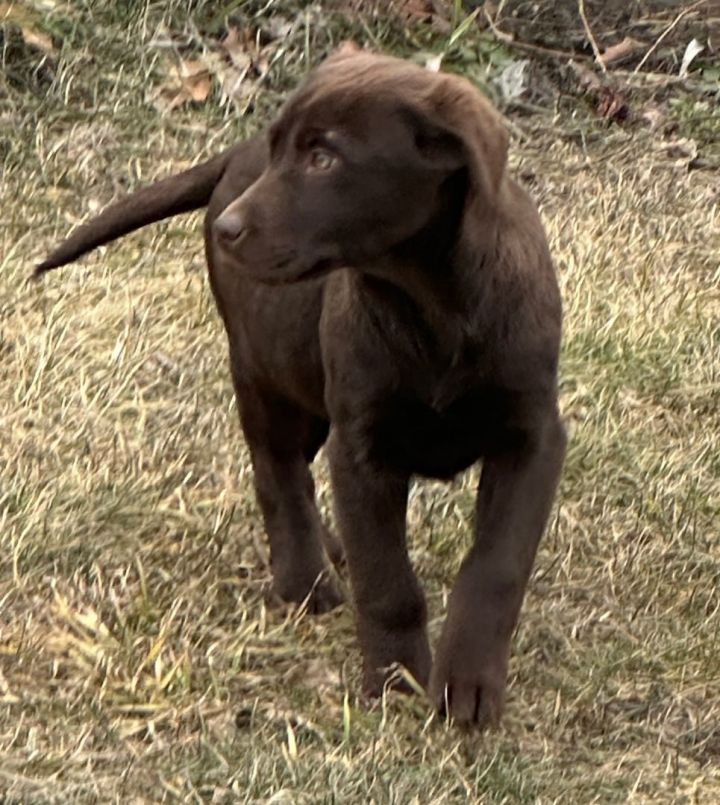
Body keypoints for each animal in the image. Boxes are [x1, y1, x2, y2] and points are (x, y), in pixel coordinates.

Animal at [36, 50, 564, 728]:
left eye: (324, 158)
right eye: (284, 149)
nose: (228, 229)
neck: (433, 303)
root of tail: (231, 159)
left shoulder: (532, 438)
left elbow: (495, 568)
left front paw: (469, 683)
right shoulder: (361, 447)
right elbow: (386, 580)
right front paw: (395, 678)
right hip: (268, 373)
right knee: (278, 473)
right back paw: (303, 577)